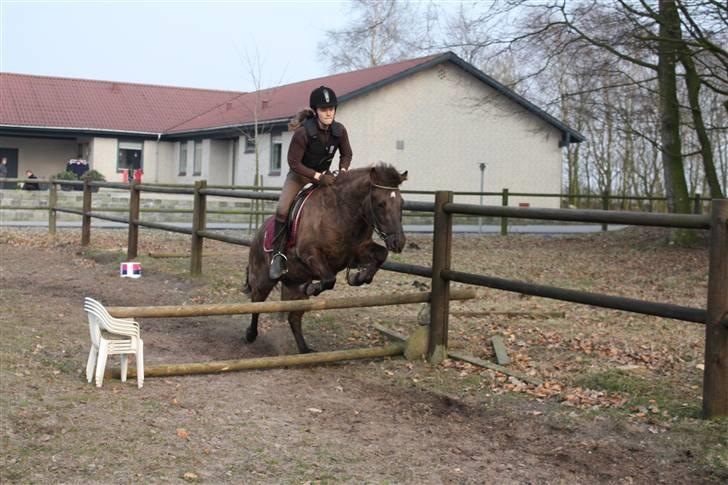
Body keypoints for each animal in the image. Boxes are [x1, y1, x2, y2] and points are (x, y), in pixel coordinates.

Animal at [242, 163, 406, 352]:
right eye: (380, 204)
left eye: (401, 204)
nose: (398, 242)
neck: (342, 212)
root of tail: (258, 234)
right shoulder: (310, 254)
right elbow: (329, 279)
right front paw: (314, 288)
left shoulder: (358, 251)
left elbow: (381, 255)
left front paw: (359, 277)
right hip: (263, 279)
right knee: (256, 302)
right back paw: (250, 334)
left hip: (294, 283)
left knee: (294, 317)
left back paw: (305, 349)